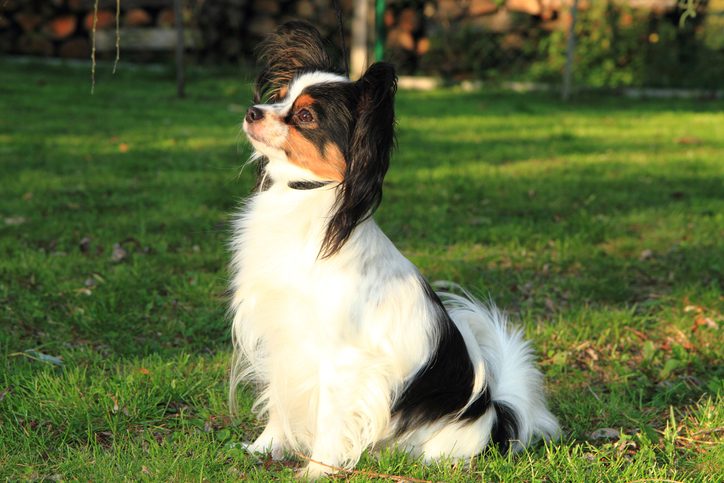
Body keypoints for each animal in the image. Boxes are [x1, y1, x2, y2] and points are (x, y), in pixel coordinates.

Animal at [229, 20, 556, 478]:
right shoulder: (282, 340)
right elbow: (279, 399)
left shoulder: (340, 359)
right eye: (280, 97)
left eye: (305, 116)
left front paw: (317, 469)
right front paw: (265, 447)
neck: (306, 200)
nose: (252, 111)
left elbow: (329, 419)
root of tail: (497, 418)